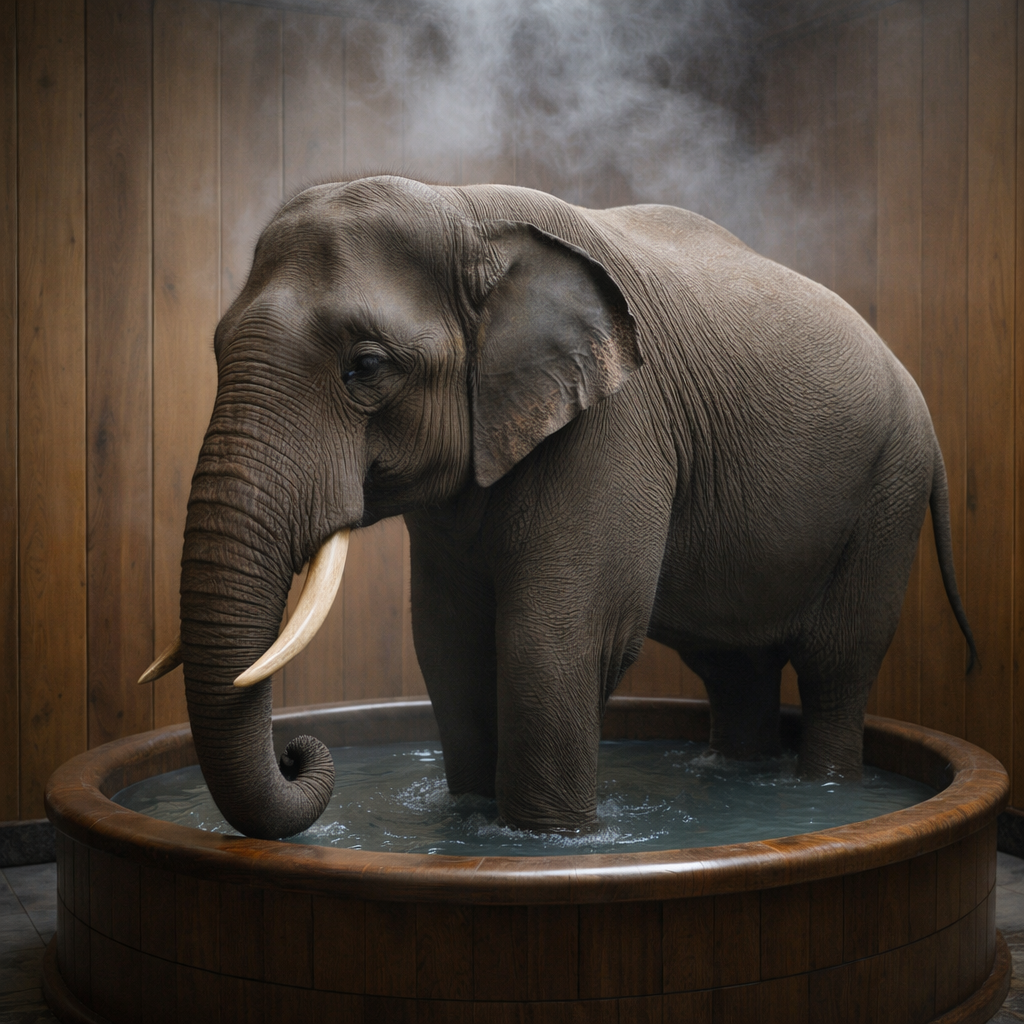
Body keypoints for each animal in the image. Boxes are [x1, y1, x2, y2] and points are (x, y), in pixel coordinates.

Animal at [142, 174, 976, 841]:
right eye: (216, 351)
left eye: (366, 366)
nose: (296, 751)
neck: (464, 209)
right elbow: (449, 639)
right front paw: (474, 823)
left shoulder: (617, 425)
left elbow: (553, 638)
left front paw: (546, 843)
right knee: (735, 666)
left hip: (889, 489)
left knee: (839, 664)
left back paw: (823, 795)